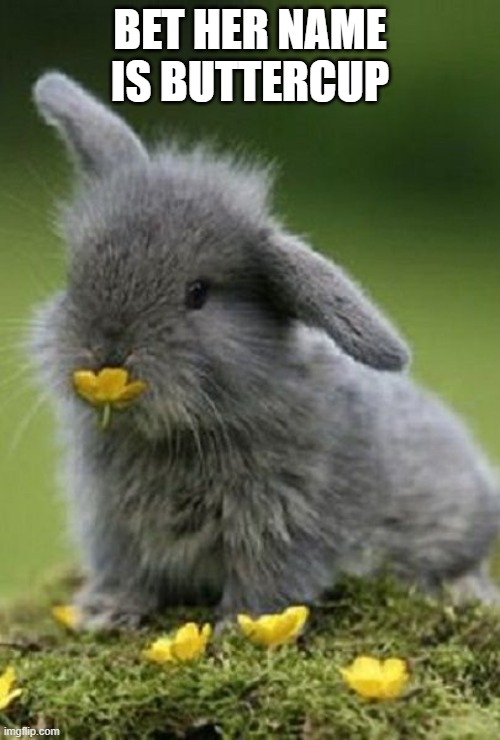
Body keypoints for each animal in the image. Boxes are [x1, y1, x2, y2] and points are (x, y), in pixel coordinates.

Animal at [29, 71, 500, 630]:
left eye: (197, 294)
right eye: (76, 276)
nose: (105, 351)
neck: (179, 434)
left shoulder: (284, 521)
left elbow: (267, 579)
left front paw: (241, 626)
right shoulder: (111, 524)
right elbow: (126, 571)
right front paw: (103, 613)